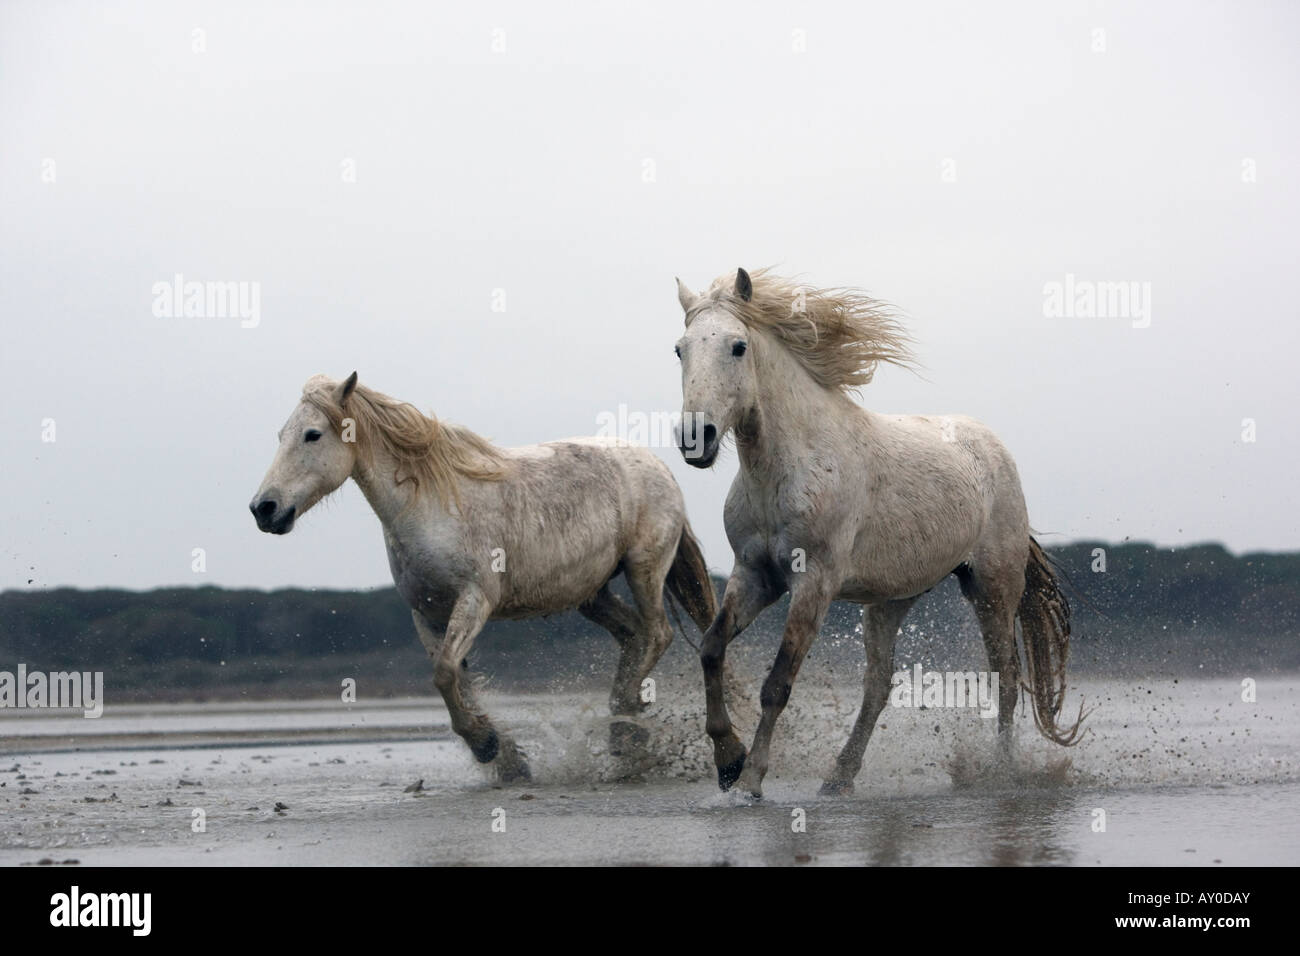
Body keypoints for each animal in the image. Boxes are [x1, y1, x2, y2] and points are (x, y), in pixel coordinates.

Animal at [248, 369, 717, 780]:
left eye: (313, 434)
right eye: (280, 435)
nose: (264, 509)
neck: (428, 505)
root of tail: (660, 468)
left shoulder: (474, 600)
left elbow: (444, 673)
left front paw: (486, 744)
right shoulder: (428, 614)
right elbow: (454, 678)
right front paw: (505, 758)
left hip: (644, 569)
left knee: (657, 633)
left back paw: (623, 729)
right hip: (592, 594)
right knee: (634, 636)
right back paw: (627, 724)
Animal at [676, 269, 1081, 801]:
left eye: (738, 346)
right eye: (680, 349)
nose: (694, 439)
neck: (787, 468)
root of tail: (991, 446)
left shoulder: (815, 582)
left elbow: (778, 684)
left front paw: (750, 782)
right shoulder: (754, 576)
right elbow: (711, 649)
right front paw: (727, 762)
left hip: (993, 587)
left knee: (1007, 678)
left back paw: (1001, 772)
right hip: (891, 601)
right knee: (878, 685)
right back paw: (839, 777)